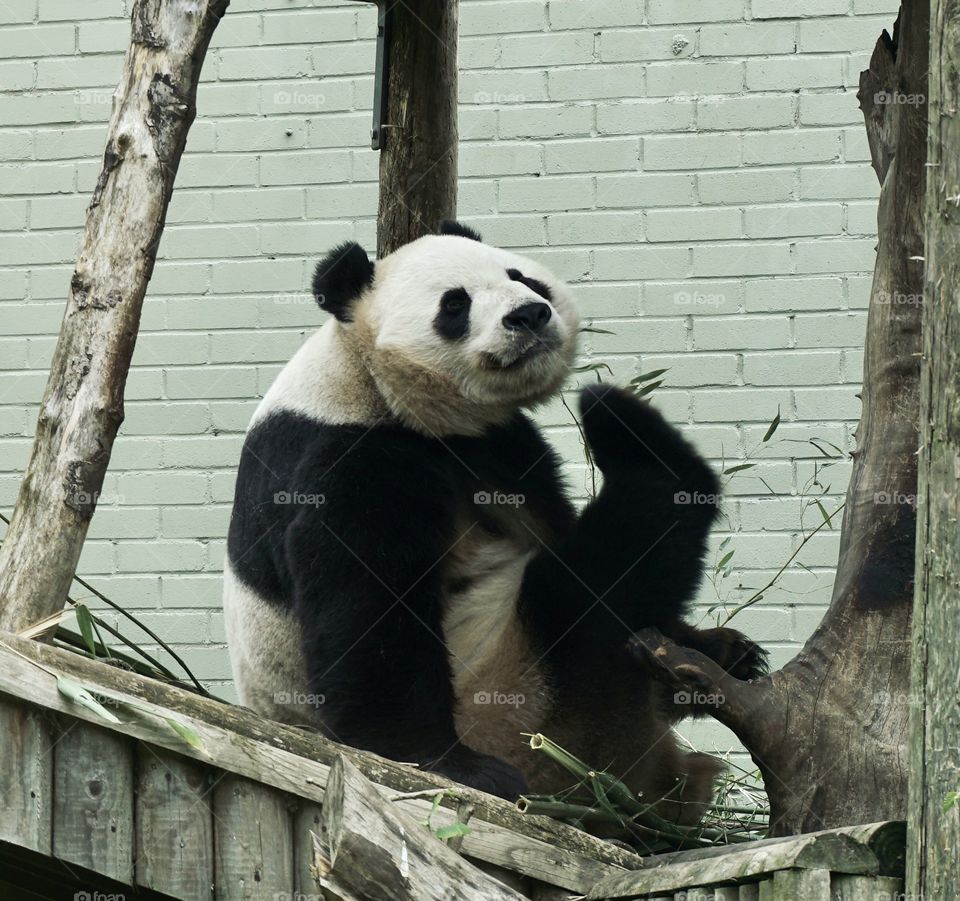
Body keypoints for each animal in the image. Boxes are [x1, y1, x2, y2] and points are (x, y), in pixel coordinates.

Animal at [223, 221, 764, 820]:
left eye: (522, 277)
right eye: (455, 304)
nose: (529, 315)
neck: (368, 382)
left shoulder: (503, 450)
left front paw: (716, 645)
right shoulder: (351, 463)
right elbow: (371, 621)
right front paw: (454, 767)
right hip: (532, 705)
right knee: (595, 584)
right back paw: (630, 434)